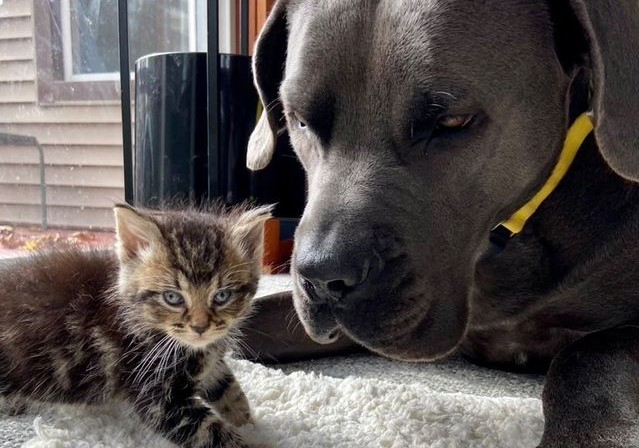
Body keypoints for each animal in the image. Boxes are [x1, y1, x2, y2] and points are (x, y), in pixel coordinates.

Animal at [0, 204, 272, 448]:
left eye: (222, 296)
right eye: (172, 297)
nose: (200, 327)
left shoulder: (209, 361)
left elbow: (229, 388)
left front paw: (250, 423)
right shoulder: (158, 397)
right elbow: (214, 433)